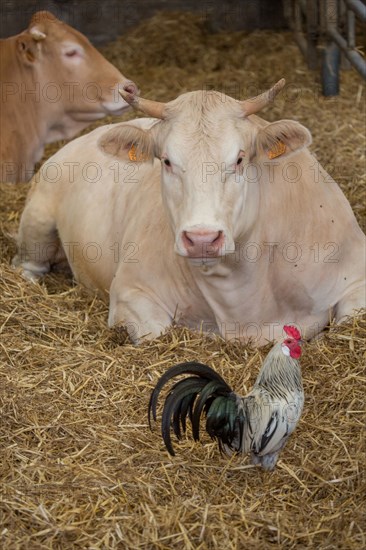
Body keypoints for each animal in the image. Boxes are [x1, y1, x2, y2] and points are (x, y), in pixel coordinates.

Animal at [12, 78, 364, 344]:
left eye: (240, 158)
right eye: (166, 161)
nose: (202, 238)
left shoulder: (354, 275)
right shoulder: (130, 291)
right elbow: (156, 333)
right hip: (37, 222)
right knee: (29, 265)